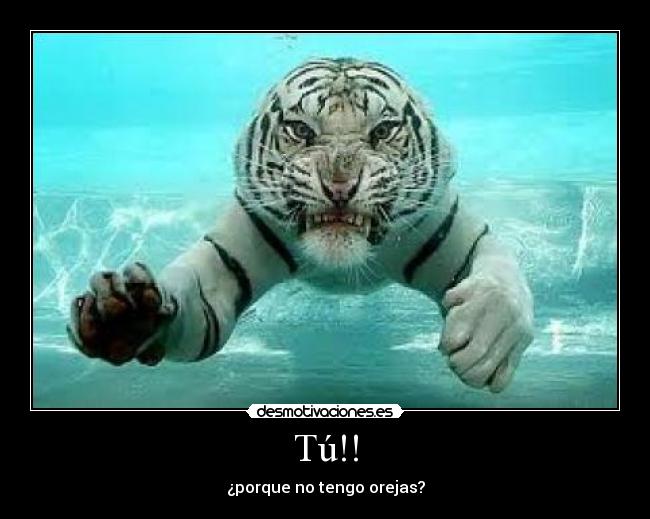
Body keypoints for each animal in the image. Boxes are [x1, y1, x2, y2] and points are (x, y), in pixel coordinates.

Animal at [67, 58, 534, 392]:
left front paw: (486, 342)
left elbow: (503, 283)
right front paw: (124, 316)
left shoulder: (448, 228)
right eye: (300, 130)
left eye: (383, 130)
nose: (340, 184)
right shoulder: (224, 264)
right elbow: (188, 293)